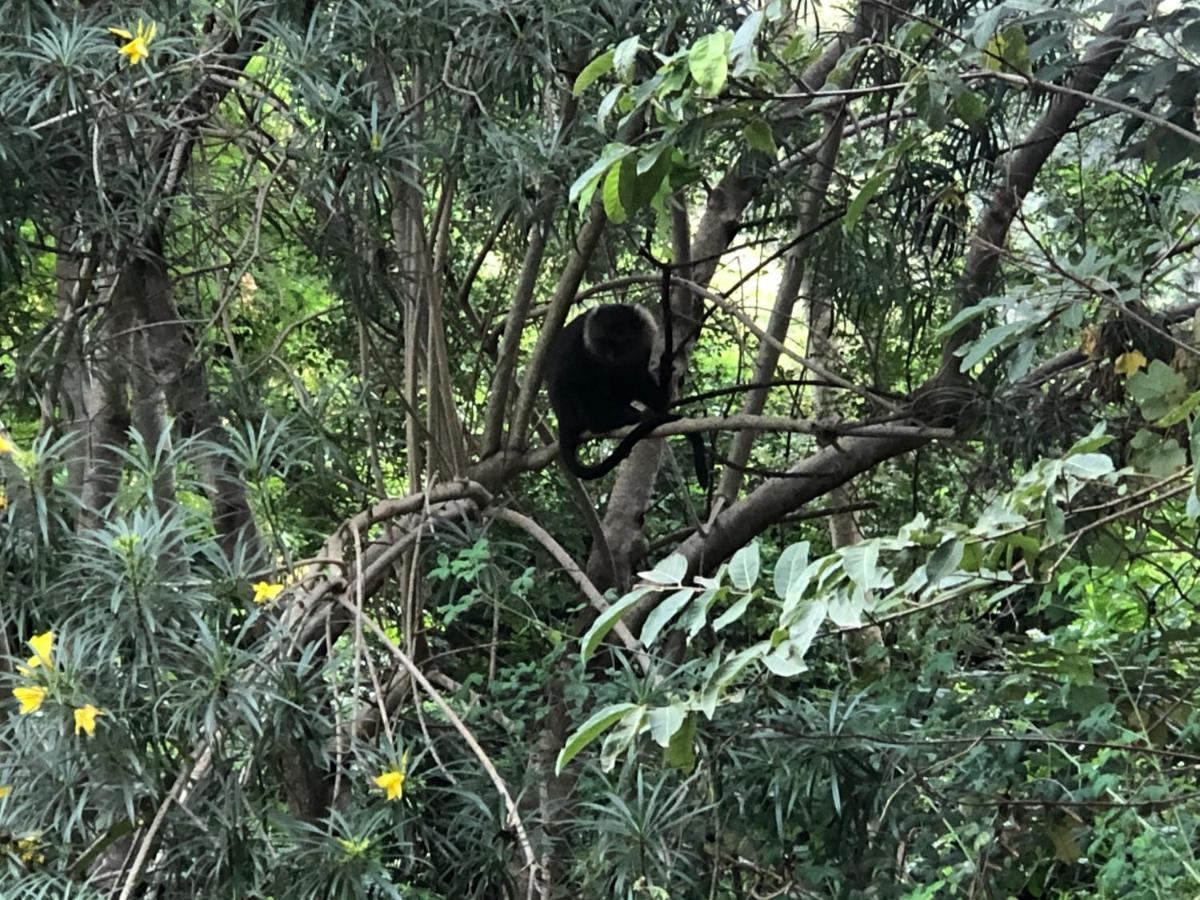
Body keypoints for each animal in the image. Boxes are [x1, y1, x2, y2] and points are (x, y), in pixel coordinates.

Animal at [547, 301, 705, 487]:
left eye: (623, 342)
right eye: (605, 342)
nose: (611, 357)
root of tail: (564, 421)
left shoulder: (645, 340)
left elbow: (637, 375)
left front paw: (664, 378)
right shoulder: (580, 342)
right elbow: (577, 376)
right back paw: (609, 420)